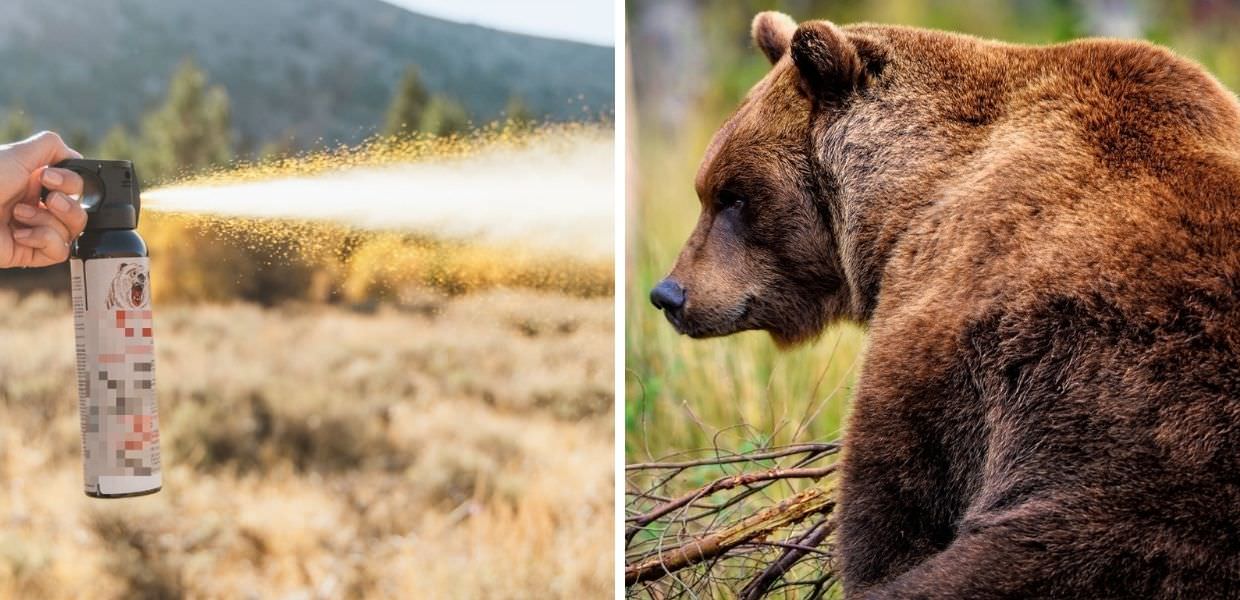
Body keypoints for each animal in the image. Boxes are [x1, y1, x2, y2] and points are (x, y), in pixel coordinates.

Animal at [649, 11, 1240, 599]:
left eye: (732, 196)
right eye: (709, 189)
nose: (669, 293)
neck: (907, 198)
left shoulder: (958, 322)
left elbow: (897, 499)